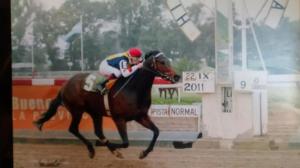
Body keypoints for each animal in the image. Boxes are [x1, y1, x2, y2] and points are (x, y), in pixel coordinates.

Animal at [33, 50, 180, 159]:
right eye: (162, 62)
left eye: (169, 61)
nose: (177, 76)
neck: (134, 89)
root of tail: (65, 85)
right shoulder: (119, 119)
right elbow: (125, 143)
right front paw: (106, 146)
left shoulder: (140, 116)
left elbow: (156, 131)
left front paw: (144, 153)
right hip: (77, 110)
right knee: (73, 129)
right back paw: (93, 149)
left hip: (95, 113)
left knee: (98, 131)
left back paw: (107, 148)